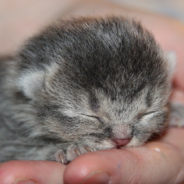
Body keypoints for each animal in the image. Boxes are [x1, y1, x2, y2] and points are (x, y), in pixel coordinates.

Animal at [0, 16, 183, 164]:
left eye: (146, 113)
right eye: (91, 116)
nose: (122, 140)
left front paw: (176, 111)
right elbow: (22, 148)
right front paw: (66, 148)